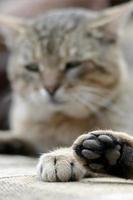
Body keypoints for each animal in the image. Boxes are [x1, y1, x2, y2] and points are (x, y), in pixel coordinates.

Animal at [0, 2, 133, 181]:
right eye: (33, 67)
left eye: (73, 64)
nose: (50, 87)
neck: (61, 121)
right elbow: (22, 138)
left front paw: (61, 155)